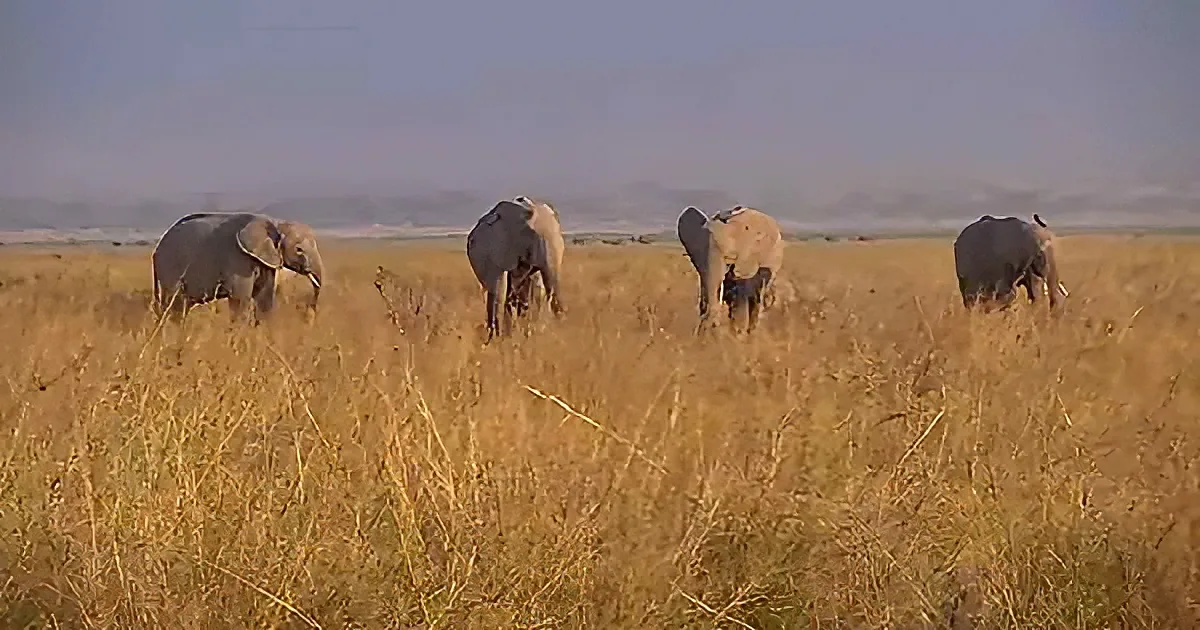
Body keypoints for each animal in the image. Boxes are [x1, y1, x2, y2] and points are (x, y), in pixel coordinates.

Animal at [151, 211, 325, 322]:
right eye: (299, 249)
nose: (309, 315)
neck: (275, 222)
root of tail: (156, 251)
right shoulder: (238, 259)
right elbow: (240, 299)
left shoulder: (265, 260)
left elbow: (264, 299)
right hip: (169, 266)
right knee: (174, 304)